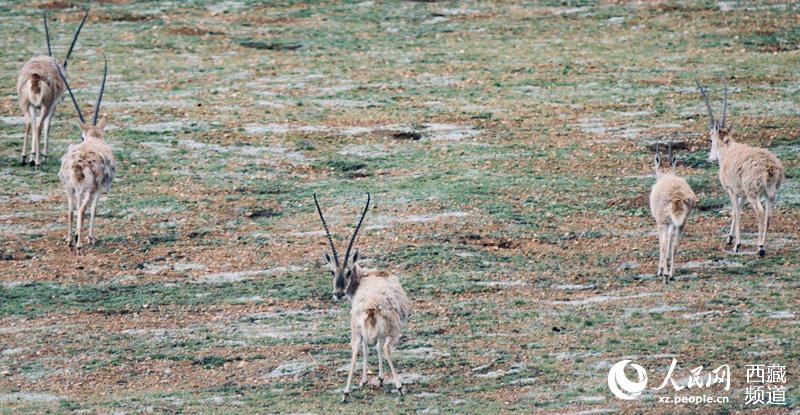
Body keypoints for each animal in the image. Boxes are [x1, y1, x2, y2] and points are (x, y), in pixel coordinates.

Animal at [17, 9, 88, 167]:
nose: (63, 97)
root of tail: (35, 76)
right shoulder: (52, 105)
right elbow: (47, 125)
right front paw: (43, 156)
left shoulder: (33, 107)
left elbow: (33, 123)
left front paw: (32, 156)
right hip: (46, 105)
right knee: (39, 126)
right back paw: (38, 162)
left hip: (25, 104)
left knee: (28, 123)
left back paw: (24, 158)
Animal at [56, 53, 115, 252]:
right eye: (82, 136)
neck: (94, 140)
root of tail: (78, 163)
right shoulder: (98, 189)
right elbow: (94, 209)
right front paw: (90, 237)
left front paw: (76, 235)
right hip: (88, 188)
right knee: (82, 209)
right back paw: (80, 244)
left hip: (69, 187)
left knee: (70, 209)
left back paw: (69, 240)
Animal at [312, 195, 412, 404]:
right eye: (332, 271)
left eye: (348, 271)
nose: (338, 293)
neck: (368, 275)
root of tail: (372, 308)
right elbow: (376, 347)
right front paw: (377, 379)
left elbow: (368, 347)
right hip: (393, 330)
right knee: (385, 348)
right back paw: (399, 387)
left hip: (356, 330)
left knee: (356, 348)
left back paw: (346, 392)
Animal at [648, 143, 696, 282]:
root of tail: (677, 199)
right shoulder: (672, 223)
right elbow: (670, 238)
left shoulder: (661, 222)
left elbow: (662, 242)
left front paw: (660, 269)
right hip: (682, 223)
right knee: (675, 245)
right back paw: (672, 273)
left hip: (662, 221)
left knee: (663, 244)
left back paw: (664, 273)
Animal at [696, 80, 784, 256]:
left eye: (711, 139)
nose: (710, 158)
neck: (728, 149)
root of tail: (770, 167)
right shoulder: (741, 193)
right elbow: (737, 211)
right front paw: (729, 238)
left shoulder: (732, 190)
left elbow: (736, 211)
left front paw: (736, 244)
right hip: (770, 193)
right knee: (769, 214)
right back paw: (762, 245)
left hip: (753, 193)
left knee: (760, 212)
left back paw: (760, 247)